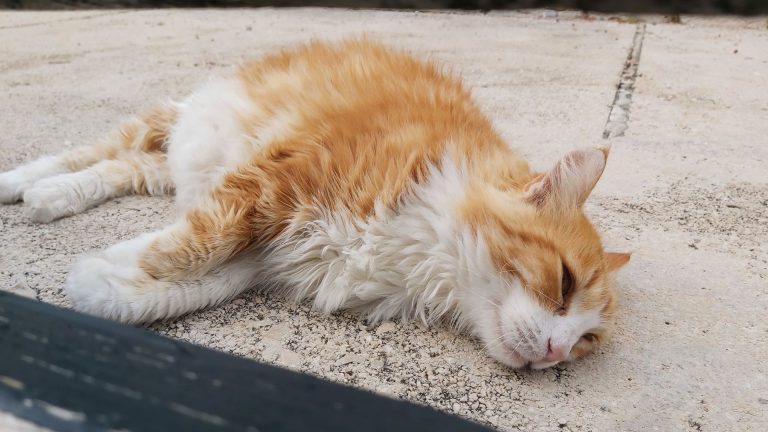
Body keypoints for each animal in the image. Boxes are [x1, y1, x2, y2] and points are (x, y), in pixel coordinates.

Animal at [0, 39, 632, 368]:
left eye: (586, 342)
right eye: (564, 283)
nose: (554, 353)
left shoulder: (273, 254)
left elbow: (182, 286)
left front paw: (104, 281)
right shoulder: (274, 182)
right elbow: (196, 244)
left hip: (174, 161)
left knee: (118, 168)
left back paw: (51, 198)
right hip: (184, 121)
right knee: (94, 149)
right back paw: (20, 183)